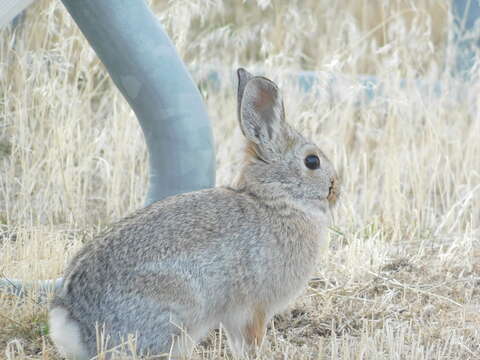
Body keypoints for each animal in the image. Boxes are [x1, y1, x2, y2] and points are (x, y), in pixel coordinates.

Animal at [49, 69, 338, 358]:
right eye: (312, 161)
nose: (335, 188)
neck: (276, 200)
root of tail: (71, 322)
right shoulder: (254, 308)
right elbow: (251, 340)